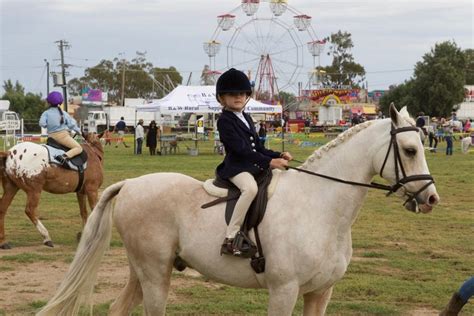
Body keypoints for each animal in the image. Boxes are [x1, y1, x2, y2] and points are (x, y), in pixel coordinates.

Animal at [38, 105, 440, 316]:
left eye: (423, 145)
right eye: (408, 150)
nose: (431, 200)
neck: (320, 208)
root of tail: (132, 184)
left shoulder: (320, 292)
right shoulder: (284, 291)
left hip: (145, 270)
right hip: (154, 274)